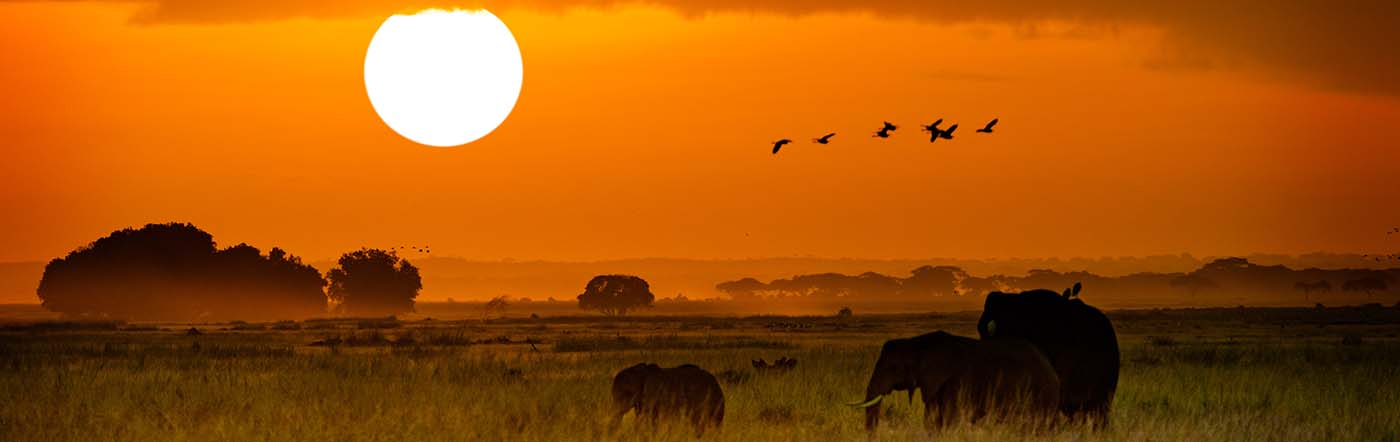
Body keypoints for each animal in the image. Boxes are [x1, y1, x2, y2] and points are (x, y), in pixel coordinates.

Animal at [850, 331, 1061, 432]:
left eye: (892, 367)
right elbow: (932, 417)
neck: (916, 343)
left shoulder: (954, 381)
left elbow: (949, 417)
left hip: (1040, 392)